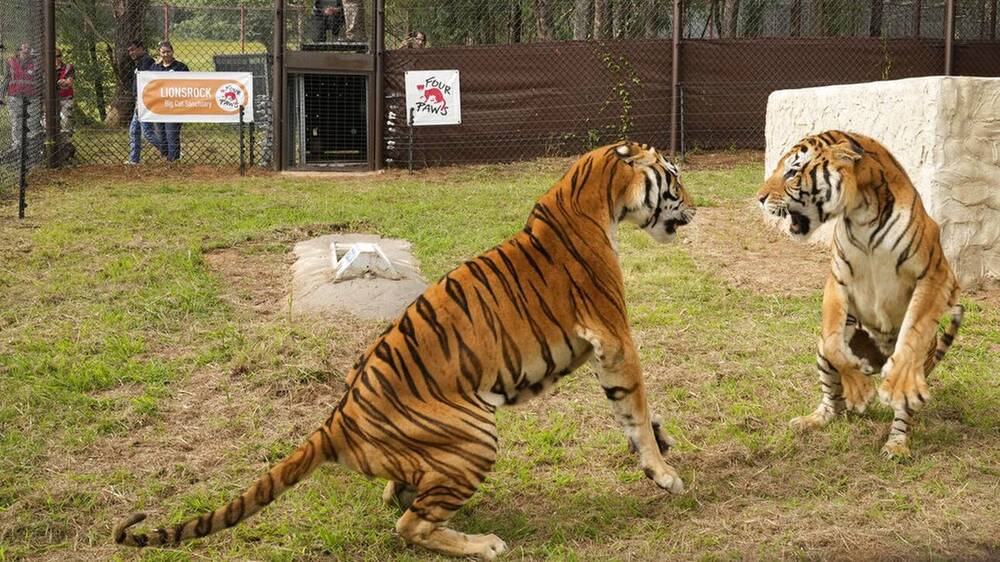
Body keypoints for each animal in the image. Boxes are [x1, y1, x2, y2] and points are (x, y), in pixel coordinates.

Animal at [113, 140, 696, 556]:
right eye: (674, 177)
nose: (697, 206)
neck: (592, 194)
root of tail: (337, 420)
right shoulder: (614, 338)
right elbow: (634, 405)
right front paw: (664, 474)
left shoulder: (606, 348)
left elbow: (632, 409)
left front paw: (662, 443)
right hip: (477, 436)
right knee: (407, 523)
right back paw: (483, 543)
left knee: (400, 494)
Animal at [760, 129, 964, 458]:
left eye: (792, 172)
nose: (760, 198)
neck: (861, 212)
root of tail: (877, 363)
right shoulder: (838, 279)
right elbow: (834, 343)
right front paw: (858, 389)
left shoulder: (936, 275)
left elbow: (914, 330)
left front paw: (897, 384)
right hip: (824, 357)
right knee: (834, 402)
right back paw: (813, 420)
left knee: (902, 408)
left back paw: (896, 444)